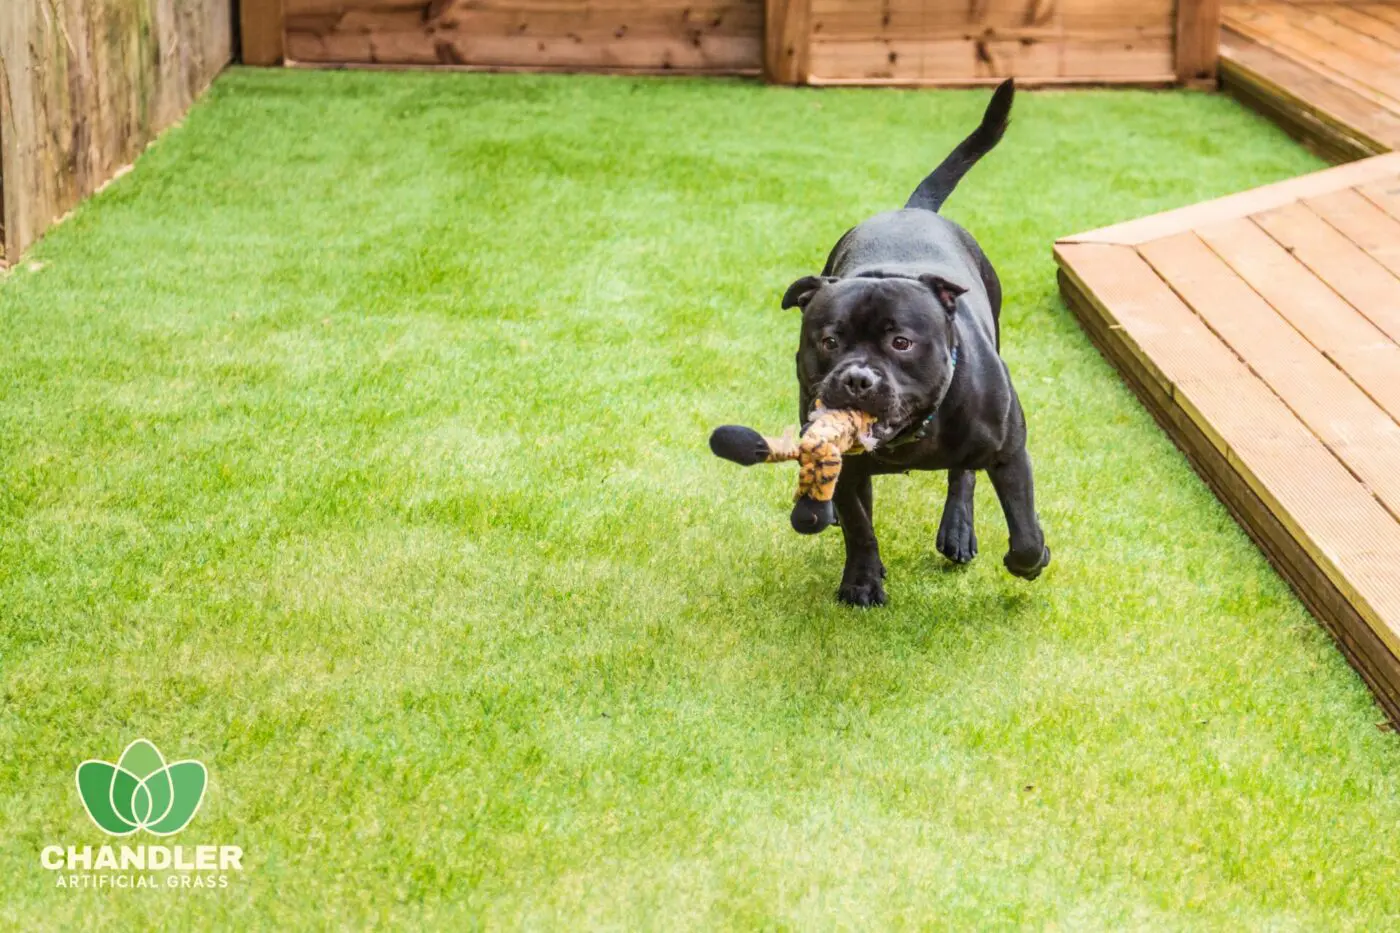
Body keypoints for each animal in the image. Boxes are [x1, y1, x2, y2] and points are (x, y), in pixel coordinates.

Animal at [784, 78, 1047, 602]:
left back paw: (958, 530)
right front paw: (862, 580)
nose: (858, 380)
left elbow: (1025, 529)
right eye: (829, 341)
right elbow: (860, 526)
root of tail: (913, 210)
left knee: (963, 475)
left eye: (901, 343)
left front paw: (1031, 560)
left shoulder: (1011, 452)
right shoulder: (848, 465)